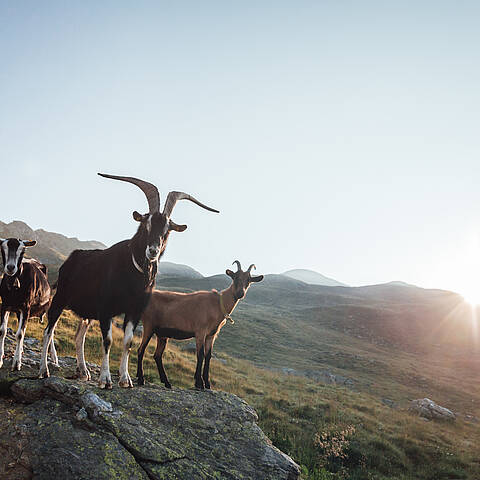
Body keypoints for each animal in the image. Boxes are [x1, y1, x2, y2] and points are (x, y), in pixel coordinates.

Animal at [0, 240, 54, 372]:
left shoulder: (26, 308)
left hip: (48, 307)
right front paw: (0, 360)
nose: (10, 267)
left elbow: (19, 334)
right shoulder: (5, 305)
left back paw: (54, 358)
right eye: (2, 248)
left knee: (51, 332)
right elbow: (3, 331)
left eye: (23, 250)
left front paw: (16, 363)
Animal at [39, 174, 219, 388]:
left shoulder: (135, 310)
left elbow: (128, 342)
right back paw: (44, 369)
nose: (153, 251)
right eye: (146, 224)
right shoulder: (105, 308)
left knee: (78, 337)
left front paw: (125, 379)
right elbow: (108, 341)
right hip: (60, 299)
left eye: (167, 230)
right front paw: (106, 379)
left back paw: (83, 371)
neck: (134, 274)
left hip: (87, 312)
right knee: (49, 330)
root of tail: (72, 258)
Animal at [137, 260, 264, 388]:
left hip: (162, 334)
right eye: (235, 277)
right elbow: (200, 355)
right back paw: (141, 379)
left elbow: (208, 356)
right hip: (149, 325)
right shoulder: (200, 331)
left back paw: (167, 382)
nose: (240, 293)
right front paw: (199, 382)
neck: (218, 304)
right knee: (141, 350)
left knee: (157, 355)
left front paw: (207, 383)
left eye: (249, 281)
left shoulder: (211, 335)